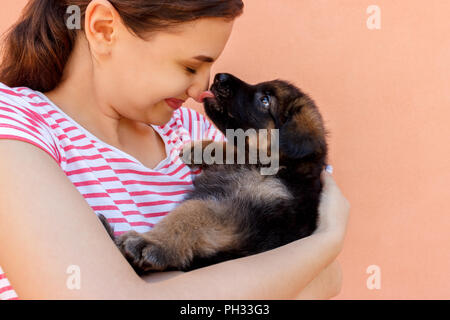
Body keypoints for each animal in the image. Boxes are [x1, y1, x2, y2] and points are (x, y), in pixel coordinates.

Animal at [100, 74, 328, 272]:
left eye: (265, 100)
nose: (220, 76)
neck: (282, 168)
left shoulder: (242, 212)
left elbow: (193, 211)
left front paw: (152, 241)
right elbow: (235, 147)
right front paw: (202, 148)